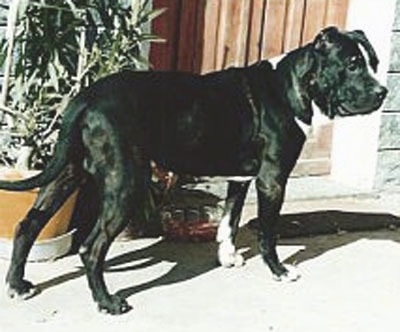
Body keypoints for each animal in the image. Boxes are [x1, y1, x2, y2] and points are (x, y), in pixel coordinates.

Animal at [0, 26, 386, 314]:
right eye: (352, 64)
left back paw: (18, 285)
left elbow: (229, 221)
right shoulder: (272, 180)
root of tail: (86, 97)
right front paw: (278, 271)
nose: (383, 92)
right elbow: (268, 233)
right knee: (91, 248)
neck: (295, 87)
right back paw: (108, 303)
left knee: (28, 225)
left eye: (373, 62)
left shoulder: (241, 179)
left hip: (68, 173)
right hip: (125, 183)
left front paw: (228, 257)